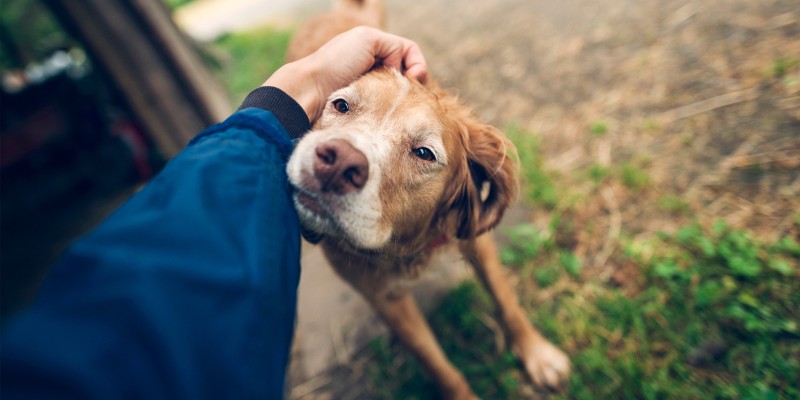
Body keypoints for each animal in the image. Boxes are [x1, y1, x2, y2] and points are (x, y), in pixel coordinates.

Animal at [284, 0, 572, 396]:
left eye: (424, 153)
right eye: (341, 105)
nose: (338, 162)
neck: (407, 243)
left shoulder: (474, 237)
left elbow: (505, 298)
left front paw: (537, 354)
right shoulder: (384, 297)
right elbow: (437, 363)